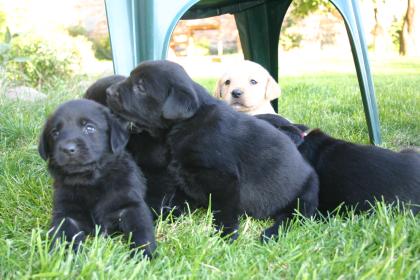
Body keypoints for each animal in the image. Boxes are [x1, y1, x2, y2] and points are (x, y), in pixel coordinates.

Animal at [38, 99, 157, 258]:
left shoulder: (130, 205)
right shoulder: (66, 214)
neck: (90, 181)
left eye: (89, 128)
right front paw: (68, 259)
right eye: (55, 133)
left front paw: (143, 255)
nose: (67, 149)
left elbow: (141, 231)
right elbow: (66, 236)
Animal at [106, 60, 318, 241]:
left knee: (291, 218)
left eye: (140, 87)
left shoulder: (224, 179)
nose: (108, 91)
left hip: (302, 198)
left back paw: (270, 233)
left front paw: (225, 235)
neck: (188, 123)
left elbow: (224, 211)